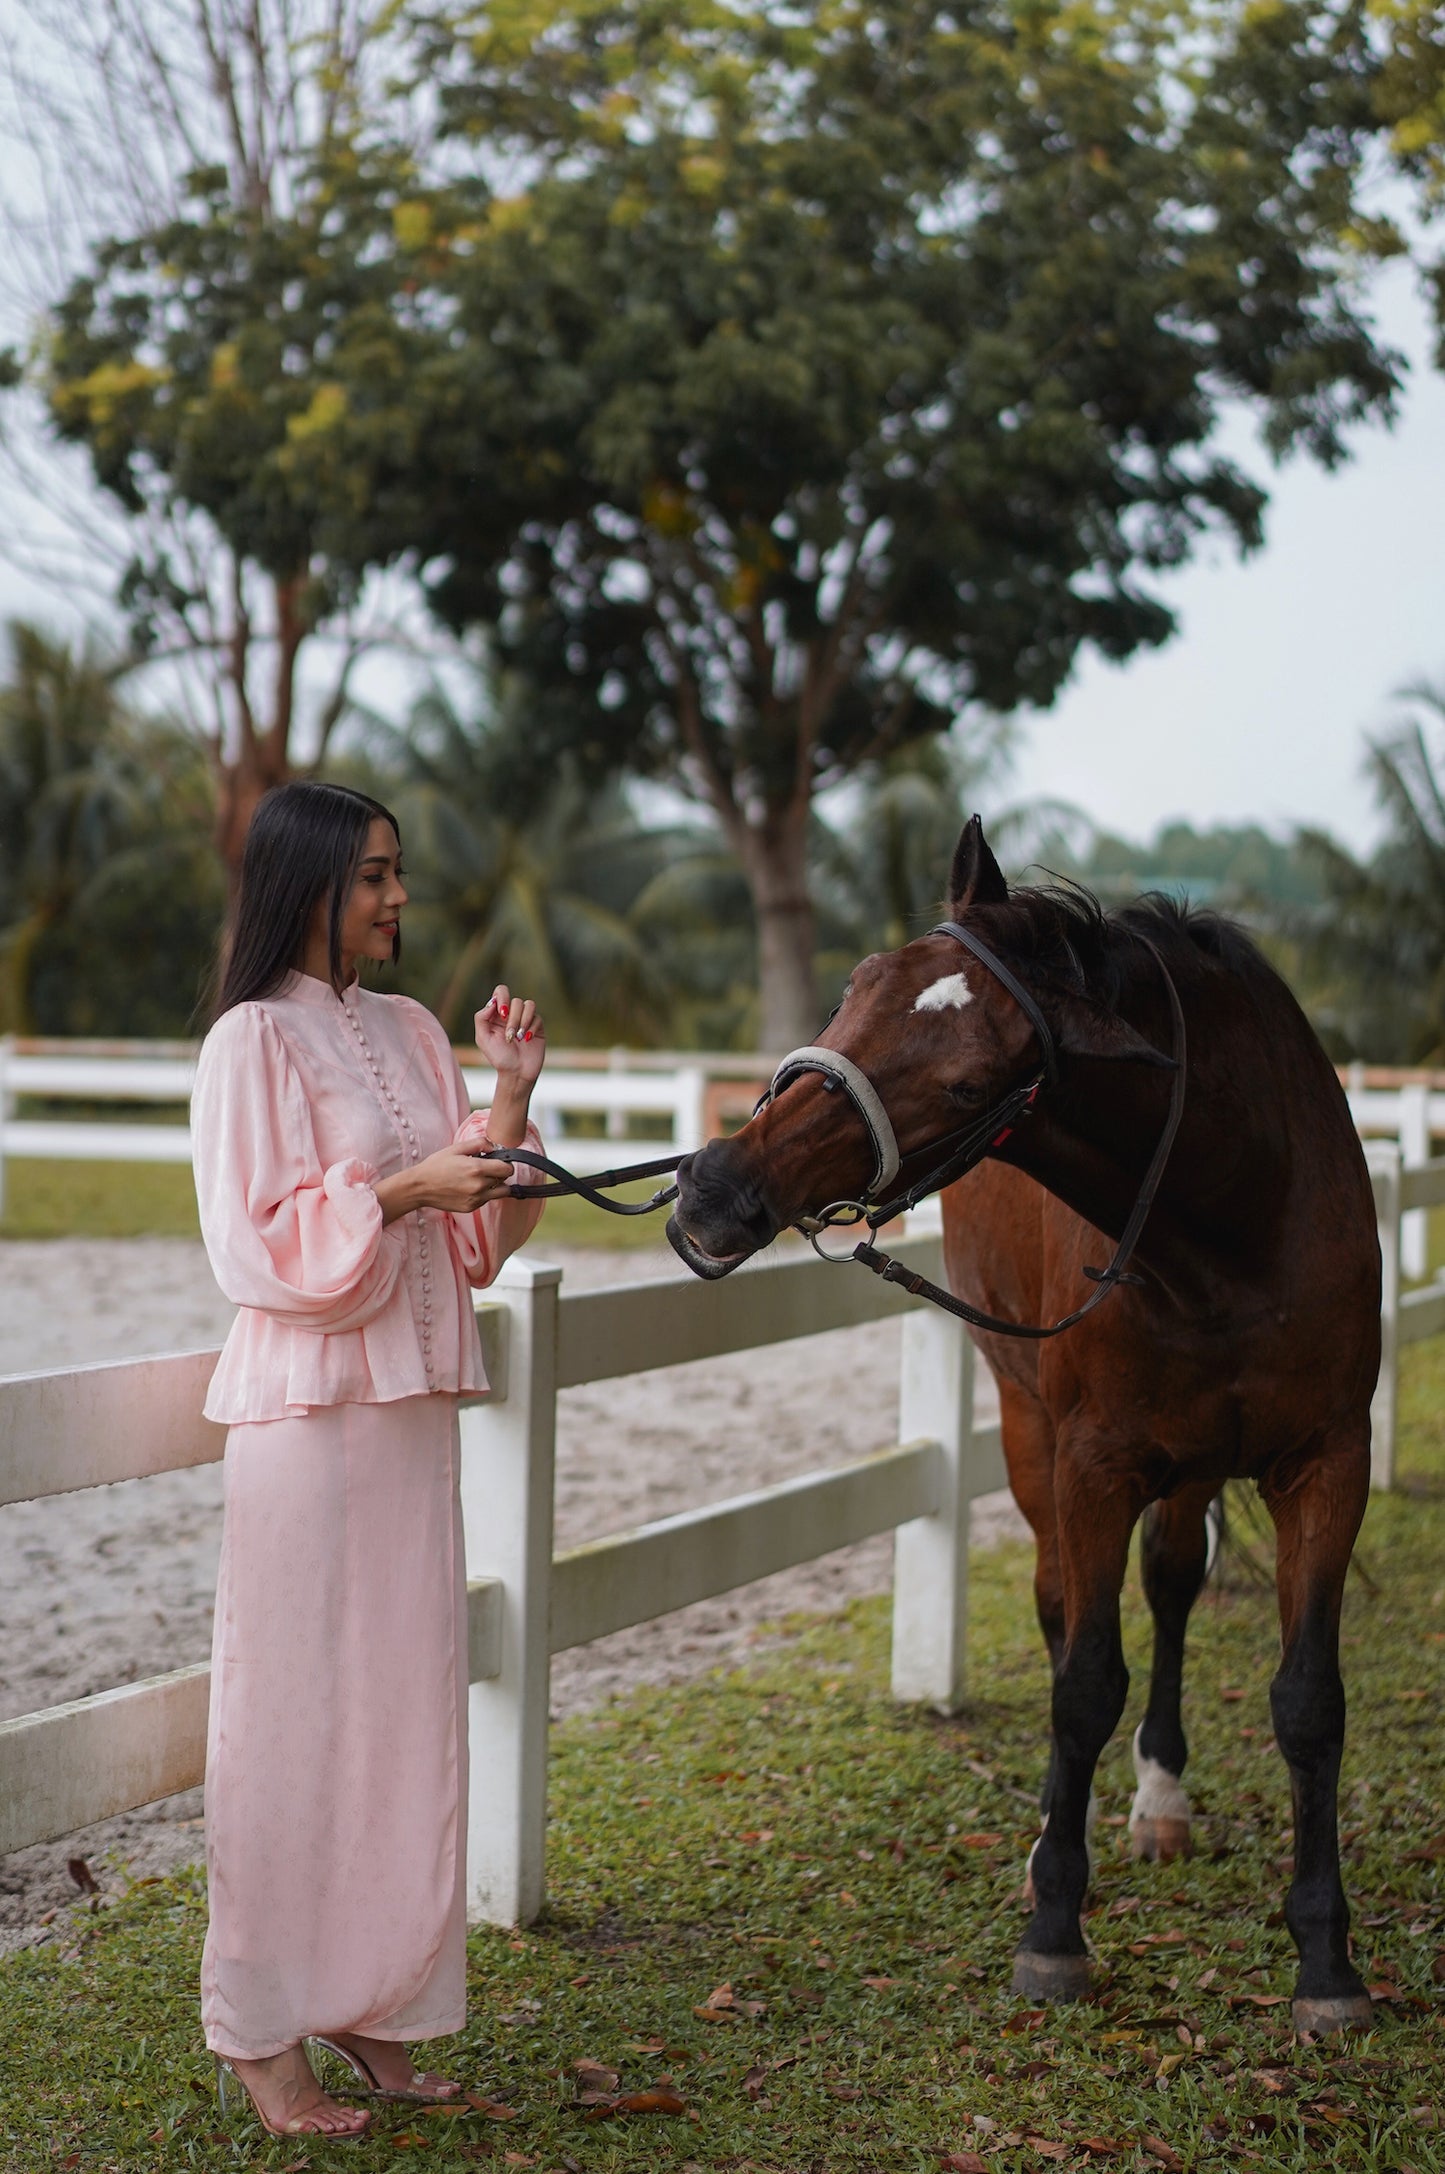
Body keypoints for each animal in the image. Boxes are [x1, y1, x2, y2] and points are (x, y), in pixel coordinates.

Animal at [669, 817, 1381, 2034]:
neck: (1238, 1220)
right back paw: (1065, 1821)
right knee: (1064, 1611)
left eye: (967, 1081)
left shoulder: (1327, 1464)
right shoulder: (1090, 1464)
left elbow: (1309, 1702)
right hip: (1025, 1431)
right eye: (856, 985)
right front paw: (1054, 1926)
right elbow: (1082, 1679)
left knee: (1171, 1583)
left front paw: (1325, 1961)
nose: (714, 1186)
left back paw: (1157, 1796)